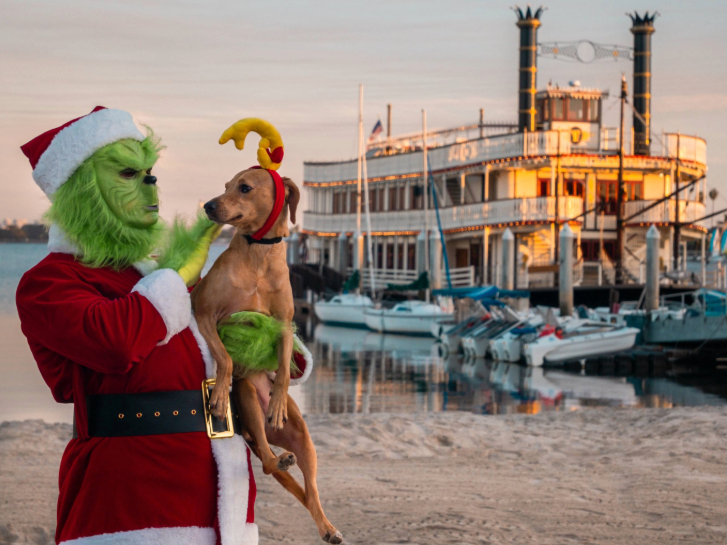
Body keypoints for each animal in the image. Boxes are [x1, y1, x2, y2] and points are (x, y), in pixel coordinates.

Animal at [192, 168, 342, 540]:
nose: (208, 205)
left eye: (245, 188)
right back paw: (278, 456)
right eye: (227, 186)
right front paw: (219, 394)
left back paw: (327, 526)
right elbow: (226, 358)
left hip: (304, 440)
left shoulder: (285, 325)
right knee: (266, 462)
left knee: (310, 491)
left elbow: (286, 369)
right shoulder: (205, 313)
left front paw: (276, 402)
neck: (258, 253)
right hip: (247, 399)